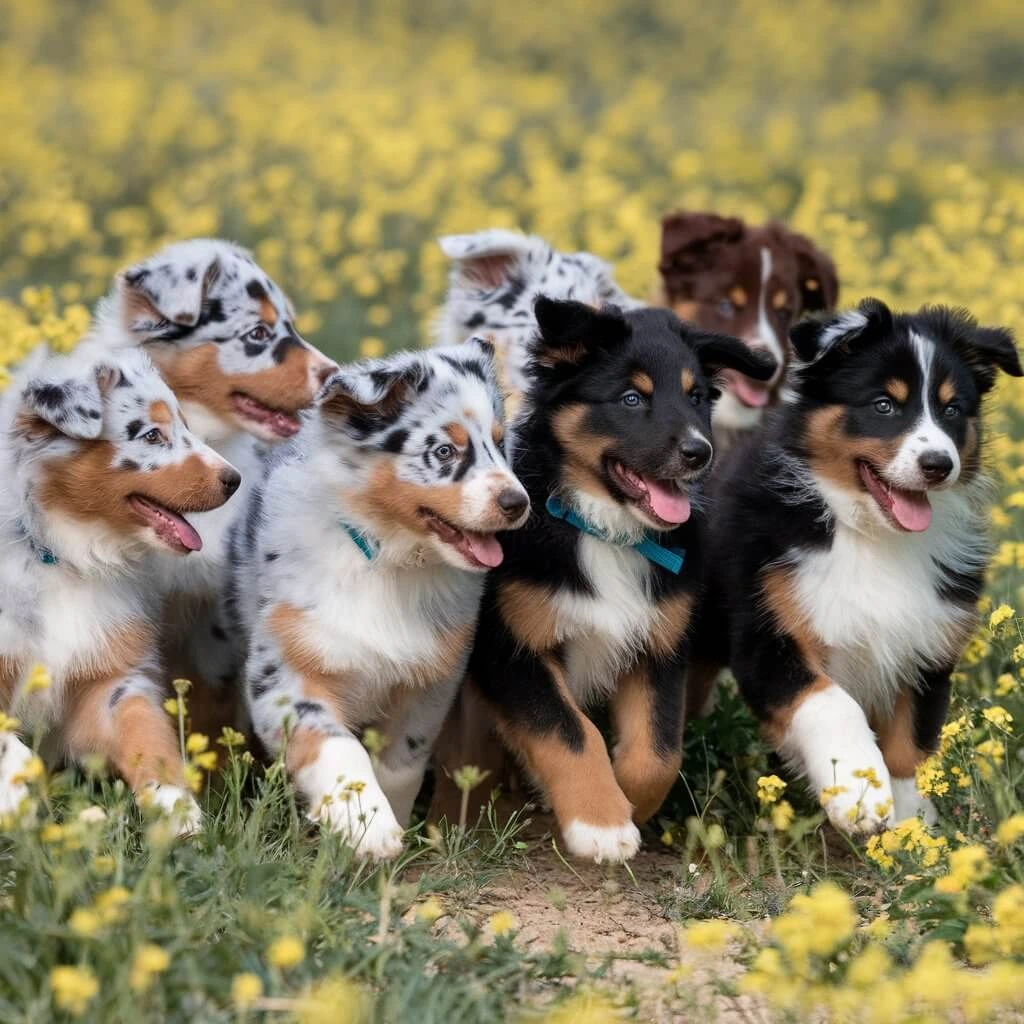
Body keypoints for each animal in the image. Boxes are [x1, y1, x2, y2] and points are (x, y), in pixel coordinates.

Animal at [0, 344, 238, 831]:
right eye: (152, 435)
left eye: (184, 425)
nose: (234, 479)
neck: (63, 553)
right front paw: (16, 791)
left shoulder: (108, 679)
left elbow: (143, 730)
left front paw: (177, 809)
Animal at [230, 342, 528, 856]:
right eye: (444, 451)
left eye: (500, 442)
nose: (518, 503)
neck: (388, 558)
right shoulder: (284, 674)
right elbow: (337, 745)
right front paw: (366, 826)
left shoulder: (430, 679)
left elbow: (401, 762)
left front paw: (392, 823)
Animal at [434, 296, 774, 864]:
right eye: (632, 398)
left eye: (697, 397)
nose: (700, 452)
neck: (606, 531)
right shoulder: (512, 647)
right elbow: (570, 730)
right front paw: (600, 823)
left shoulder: (660, 644)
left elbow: (657, 751)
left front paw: (626, 806)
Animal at [692, 299, 1019, 839]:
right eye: (883, 405)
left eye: (952, 409)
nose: (938, 464)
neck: (869, 534)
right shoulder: (767, 634)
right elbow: (832, 702)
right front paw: (858, 791)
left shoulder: (929, 643)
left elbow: (912, 736)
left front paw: (911, 821)